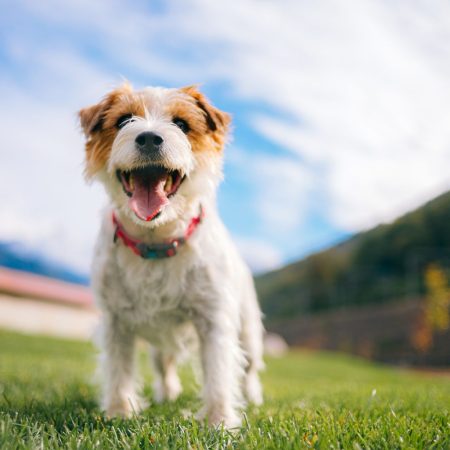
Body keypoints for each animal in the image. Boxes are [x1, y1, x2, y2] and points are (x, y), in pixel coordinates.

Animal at [78, 82, 264, 428]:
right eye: (124, 120)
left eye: (181, 123)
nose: (149, 137)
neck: (156, 242)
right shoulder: (116, 321)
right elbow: (119, 370)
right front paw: (119, 413)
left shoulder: (213, 318)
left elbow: (219, 373)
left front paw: (220, 422)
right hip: (160, 341)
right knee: (164, 365)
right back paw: (168, 394)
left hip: (248, 330)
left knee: (249, 367)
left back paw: (254, 396)